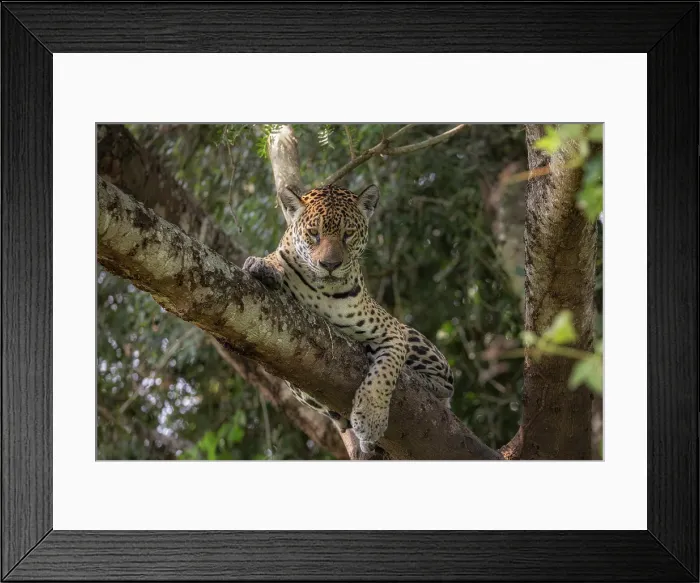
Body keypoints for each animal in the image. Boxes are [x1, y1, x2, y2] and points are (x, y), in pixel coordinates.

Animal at [243, 183, 454, 454]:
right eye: (314, 233)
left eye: (348, 234)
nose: (329, 264)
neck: (323, 290)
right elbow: (273, 260)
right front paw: (263, 266)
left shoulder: (392, 331)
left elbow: (384, 374)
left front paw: (371, 418)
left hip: (414, 338)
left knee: (446, 384)